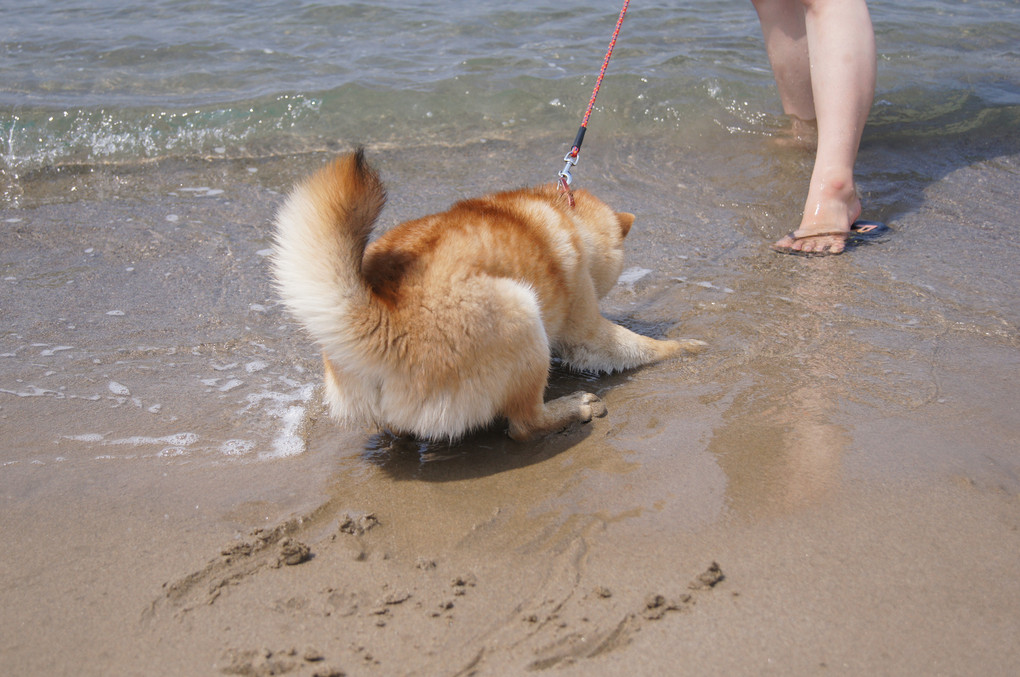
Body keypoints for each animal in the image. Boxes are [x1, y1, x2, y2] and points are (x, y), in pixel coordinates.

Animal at [271, 149, 701, 442]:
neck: (565, 213)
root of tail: (387, 321)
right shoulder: (585, 331)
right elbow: (636, 345)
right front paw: (685, 347)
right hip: (521, 314)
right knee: (524, 424)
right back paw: (573, 408)